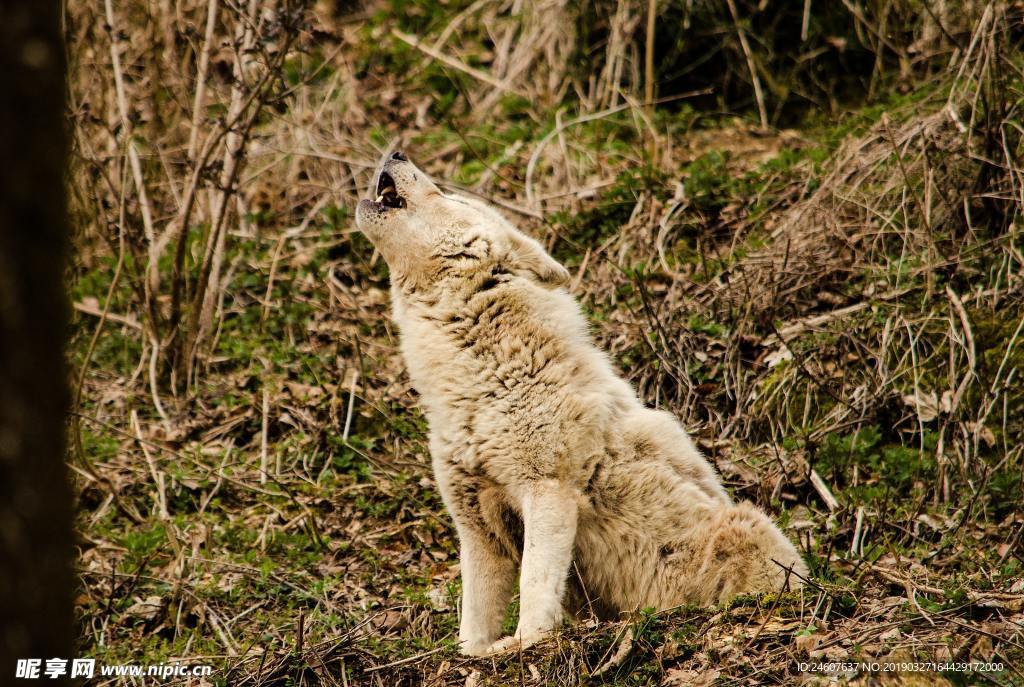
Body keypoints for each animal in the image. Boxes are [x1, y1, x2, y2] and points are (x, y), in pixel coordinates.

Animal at [356, 150, 802, 655]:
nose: (396, 152)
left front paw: (526, 643)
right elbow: (473, 619)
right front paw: (474, 655)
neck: (479, 376)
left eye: (449, 197)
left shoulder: (548, 491)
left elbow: (534, 586)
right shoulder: (477, 526)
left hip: (745, 525)